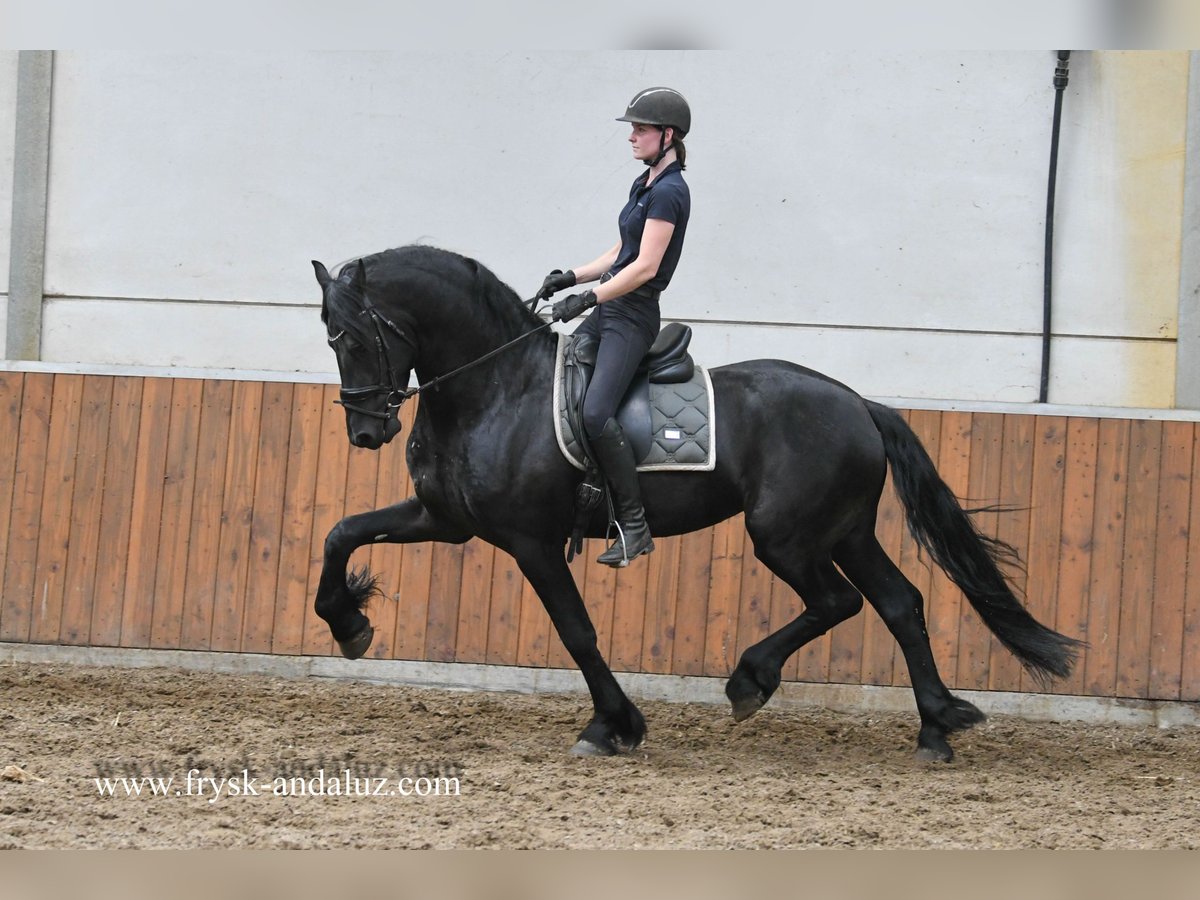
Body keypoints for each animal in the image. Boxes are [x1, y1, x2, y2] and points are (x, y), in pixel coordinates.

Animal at [309, 244, 1080, 763]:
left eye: (353, 336)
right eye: (329, 335)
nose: (367, 431)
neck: (495, 388)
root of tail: (859, 403)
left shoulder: (532, 542)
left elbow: (577, 631)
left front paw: (611, 726)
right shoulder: (445, 521)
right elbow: (342, 532)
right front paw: (349, 624)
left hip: (785, 535)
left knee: (839, 602)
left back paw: (751, 680)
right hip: (845, 531)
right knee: (900, 603)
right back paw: (935, 725)